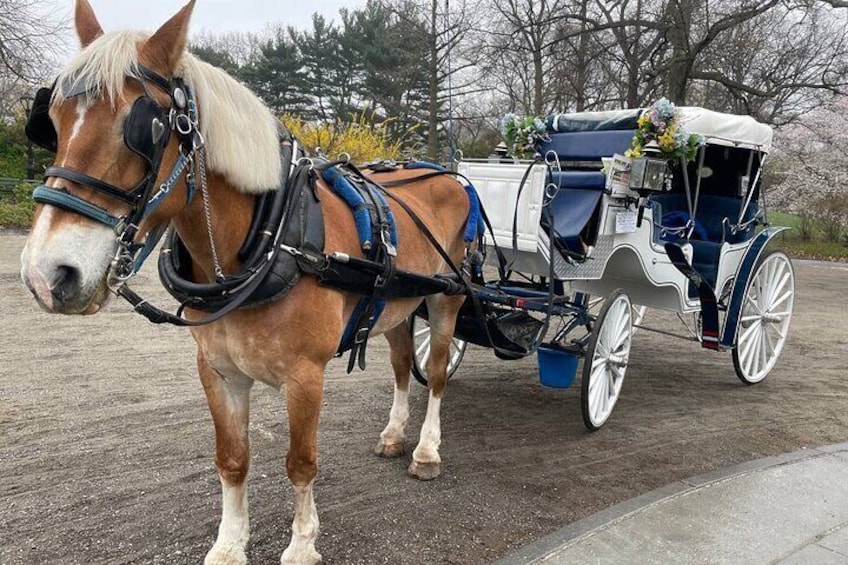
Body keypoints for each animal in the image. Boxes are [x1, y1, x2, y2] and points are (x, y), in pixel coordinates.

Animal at [18, 2, 470, 560]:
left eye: (146, 129)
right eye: (53, 122)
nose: (47, 274)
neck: (270, 243)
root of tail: (445, 173)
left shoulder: (306, 376)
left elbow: (301, 462)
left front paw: (301, 545)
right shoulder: (218, 371)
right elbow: (232, 459)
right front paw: (230, 545)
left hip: (447, 300)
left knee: (437, 374)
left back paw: (426, 450)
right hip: (398, 306)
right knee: (404, 367)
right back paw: (393, 433)